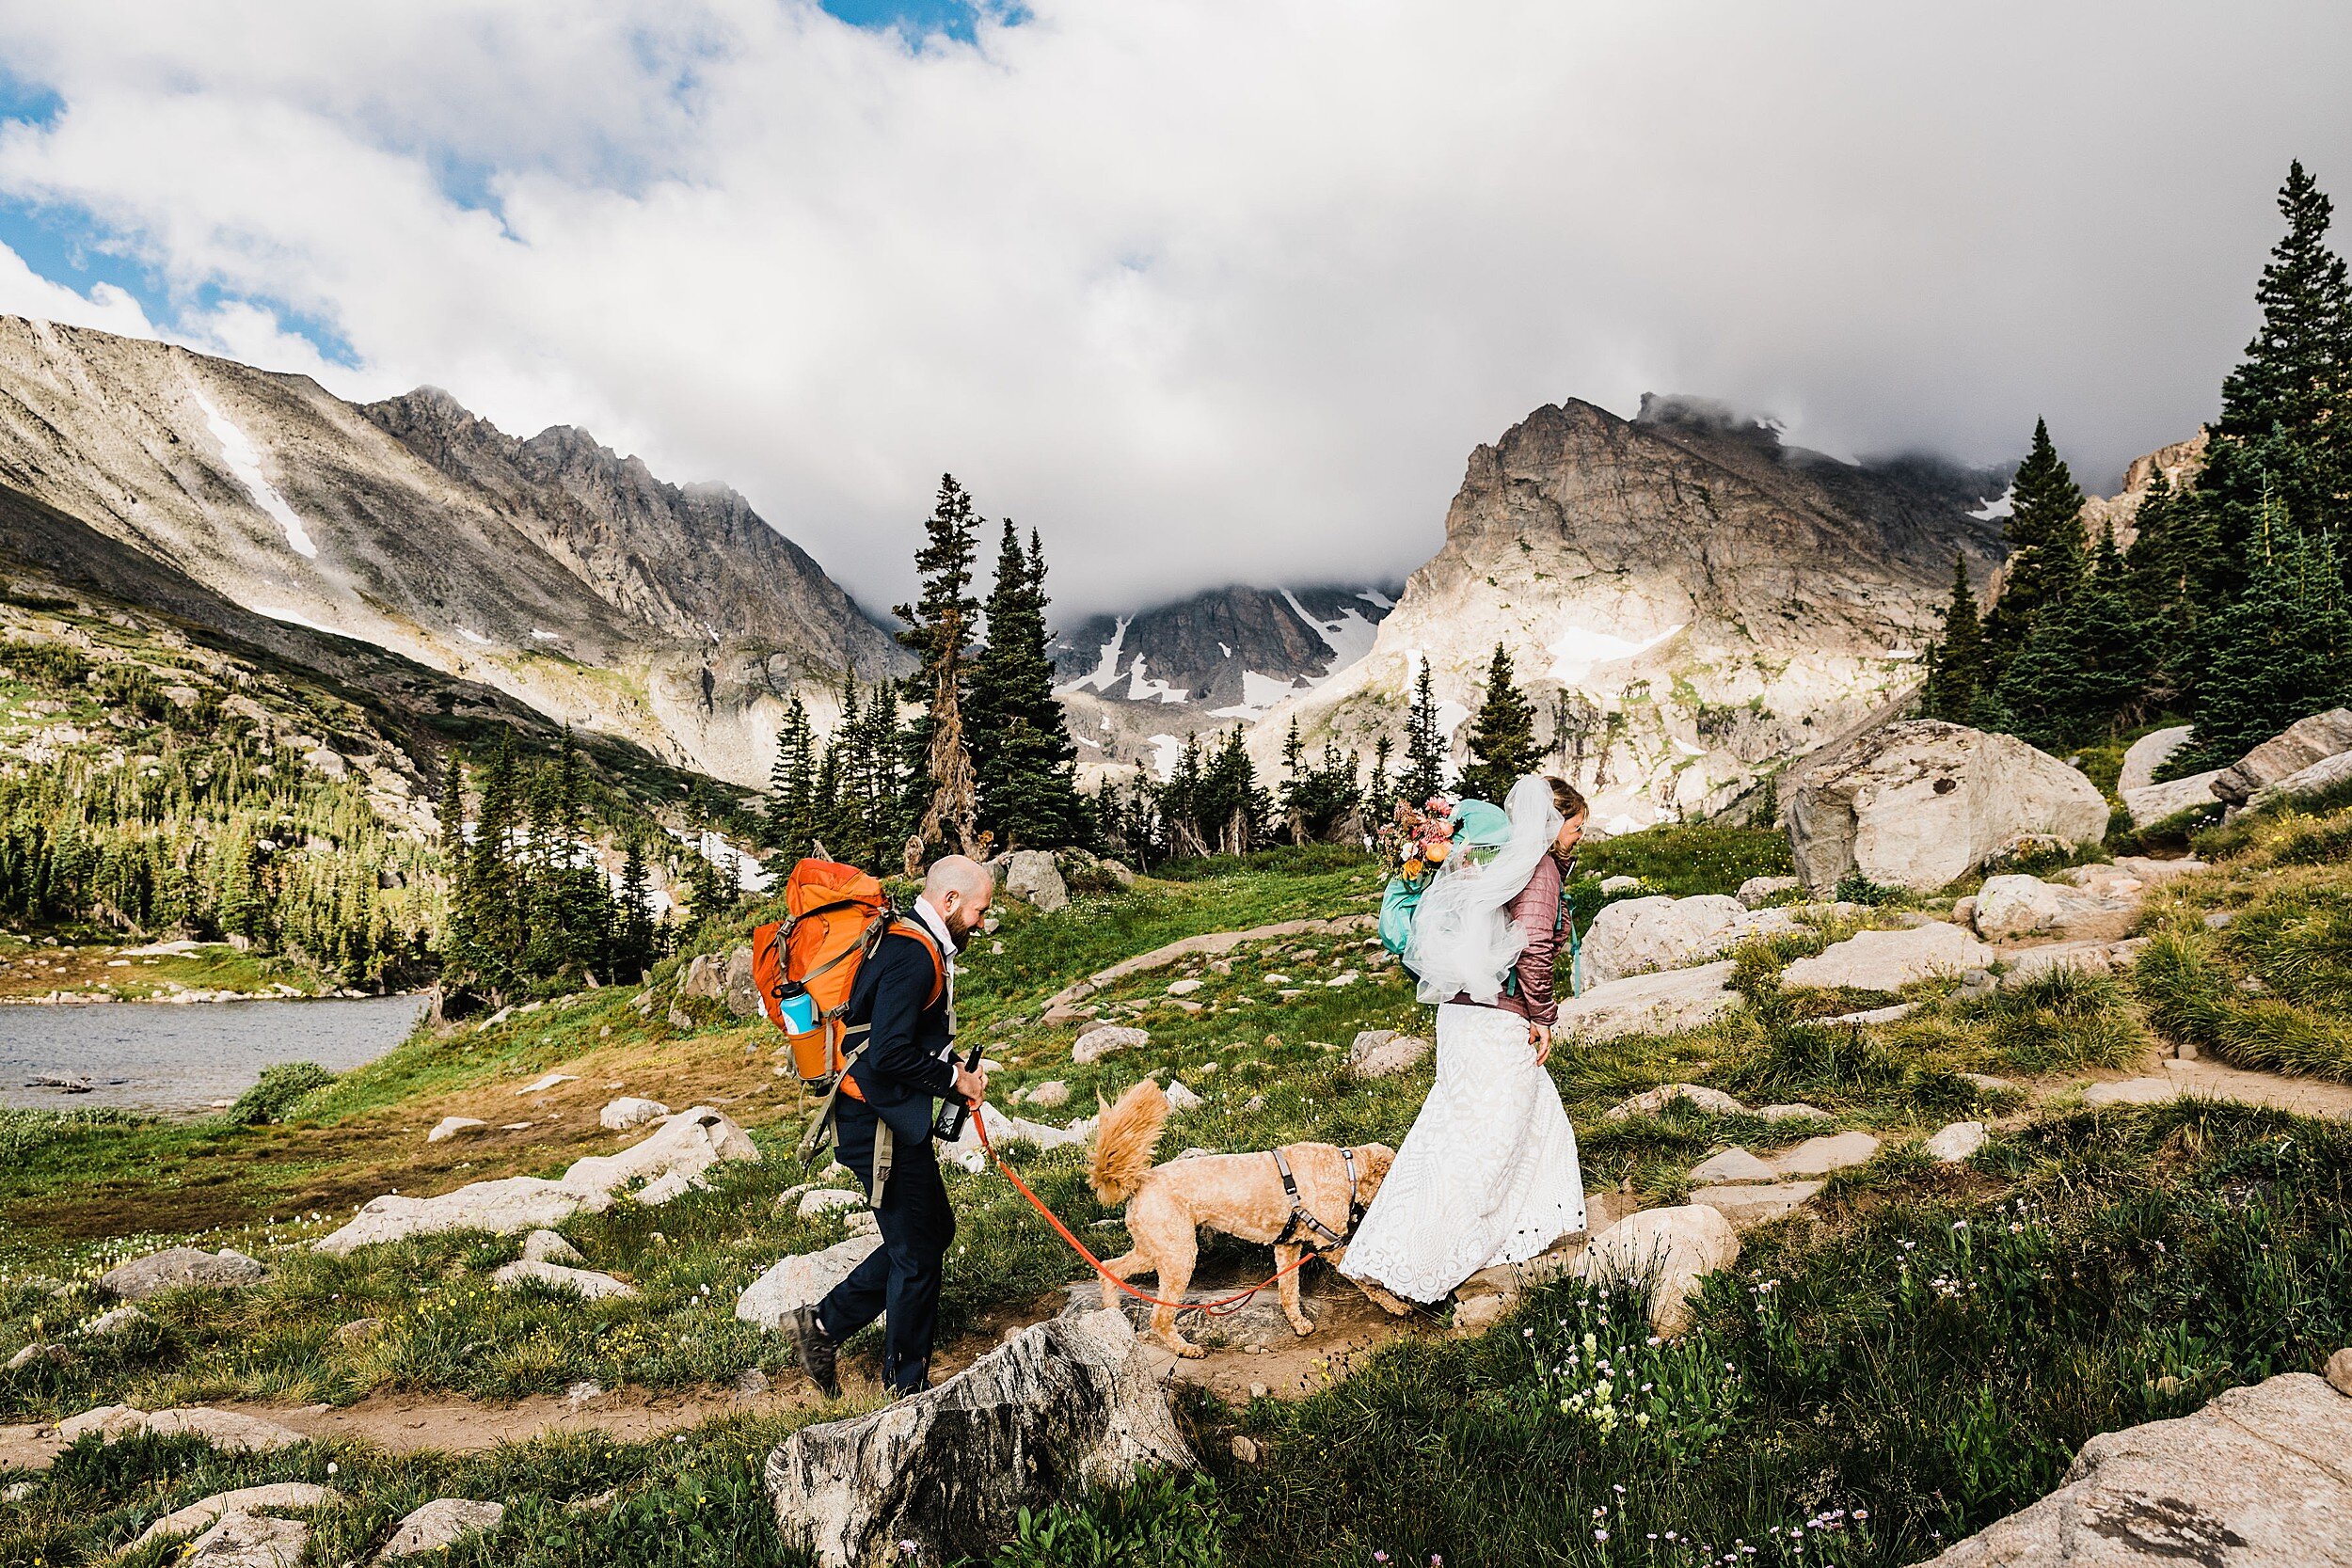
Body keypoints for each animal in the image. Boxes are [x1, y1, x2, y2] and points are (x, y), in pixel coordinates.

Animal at [1091, 1081, 1402, 1363]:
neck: (1345, 1169)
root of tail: (1140, 1181)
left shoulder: (1288, 1247)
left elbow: (1289, 1290)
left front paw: (1298, 1323)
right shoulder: (1332, 1245)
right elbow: (1368, 1283)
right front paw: (1396, 1305)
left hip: (1155, 1249)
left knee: (1110, 1268)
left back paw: (1113, 1314)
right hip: (1178, 1254)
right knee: (1160, 1316)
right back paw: (1186, 1349)